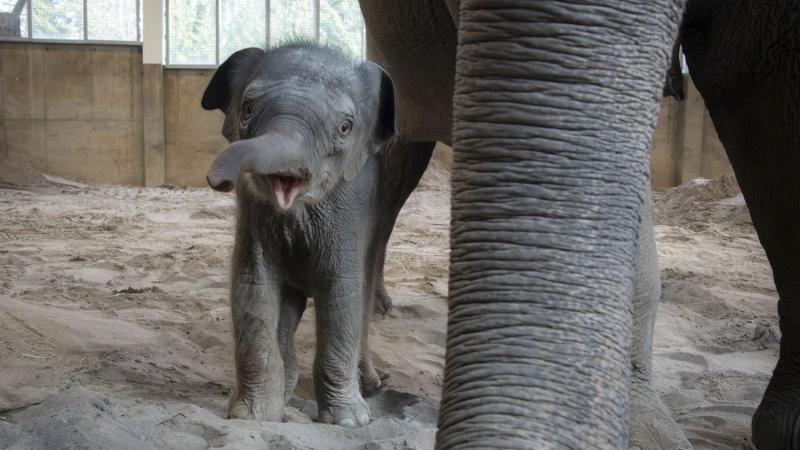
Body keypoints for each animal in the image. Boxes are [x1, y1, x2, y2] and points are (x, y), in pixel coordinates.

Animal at [202, 44, 398, 428]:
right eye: (247, 108)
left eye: (344, 127)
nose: (219, 180)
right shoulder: (253, 217)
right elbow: (253, 286)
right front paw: (253, 416)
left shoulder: (351, 210)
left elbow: (342, 292)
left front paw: (349, 422)